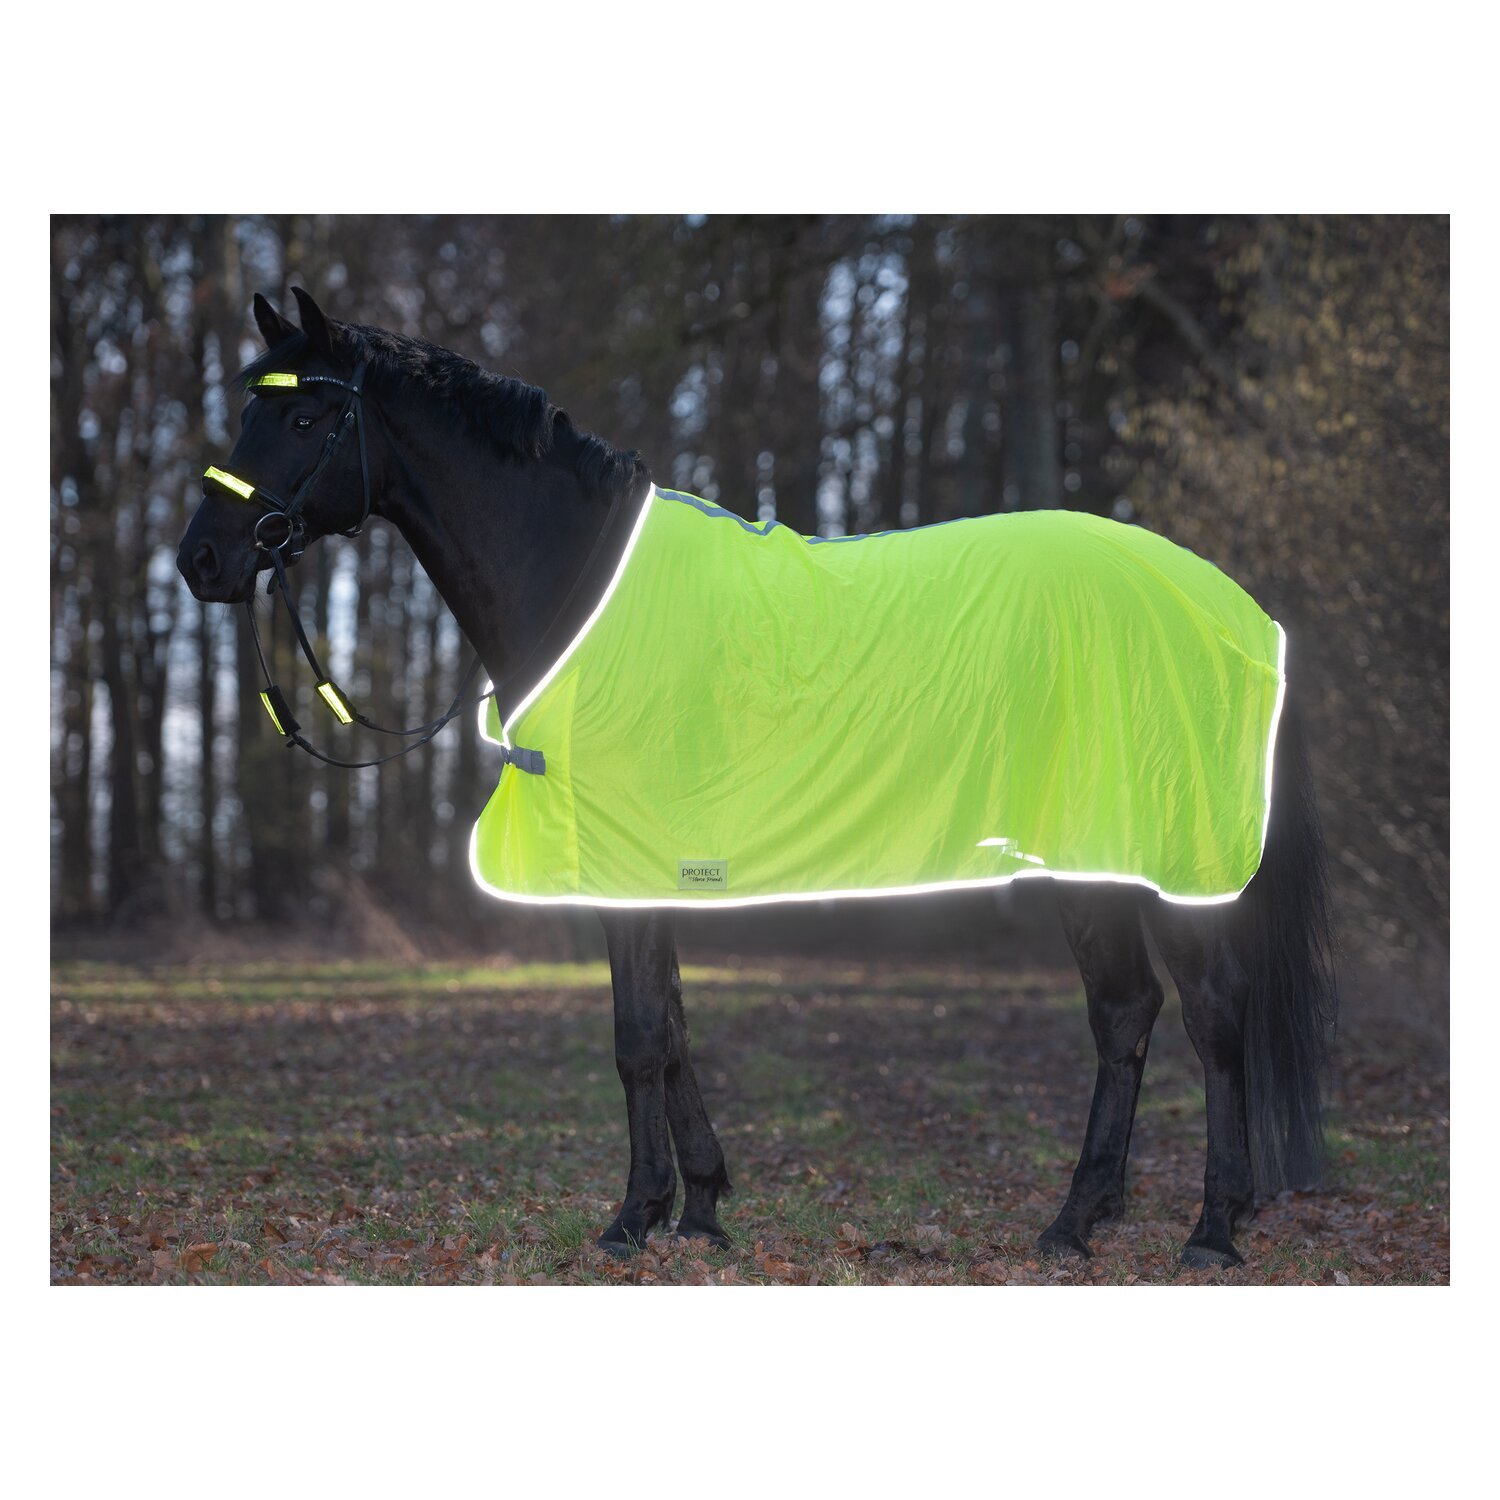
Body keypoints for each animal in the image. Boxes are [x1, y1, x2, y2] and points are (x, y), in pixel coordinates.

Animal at [177, 288, 1337, 1269]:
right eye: (247, 410)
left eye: (302, 419)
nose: (201, 561)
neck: (580, 587)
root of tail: (1230, 608)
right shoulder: (652, 862)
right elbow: (674, 1029)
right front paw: (697, 1206)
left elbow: (639, 1038)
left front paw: (630, 1221)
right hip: (1091, 855)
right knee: (1125, 1013)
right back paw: (1077, 1221)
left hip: (1163, 854)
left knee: (1210, 1016)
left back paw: (1210, 1231)